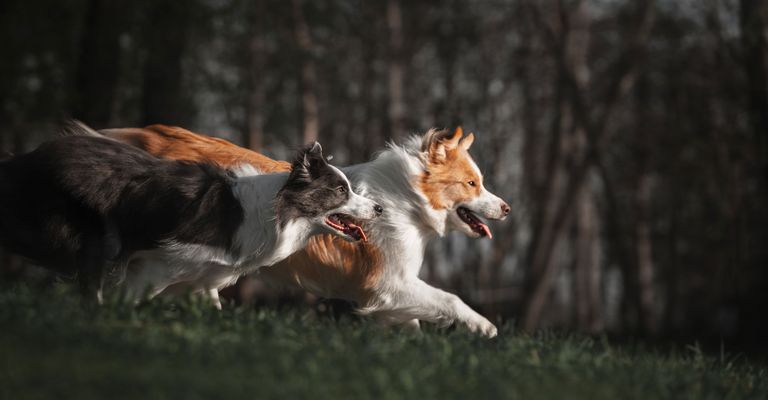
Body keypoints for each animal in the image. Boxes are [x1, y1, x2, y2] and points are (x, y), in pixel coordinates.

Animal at [102, 126, 510, 338]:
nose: (507, 208)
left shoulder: (391, 290)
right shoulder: (386, 282)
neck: (406, 198)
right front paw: (484, 326)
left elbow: (411, 323)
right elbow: (450, 299)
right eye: (472, 183)